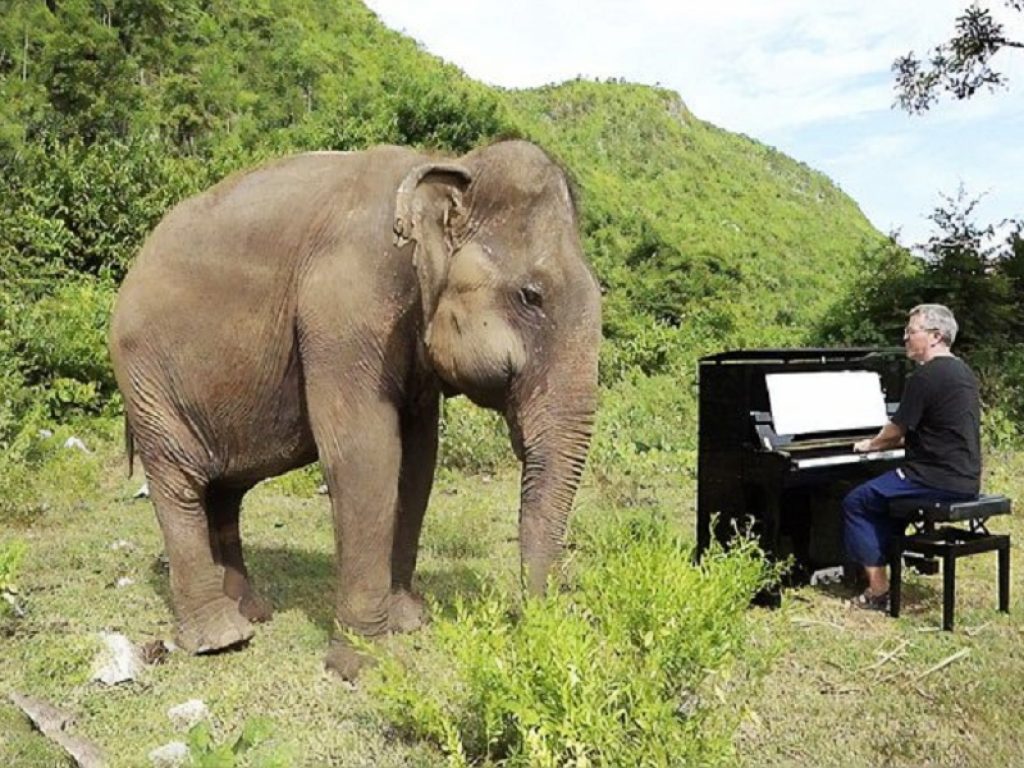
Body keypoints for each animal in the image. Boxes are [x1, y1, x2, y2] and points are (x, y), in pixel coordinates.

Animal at [108, 139, 602, 678]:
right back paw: (222, 638)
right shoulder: (345, 311)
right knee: (179, 483)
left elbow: (418, 462)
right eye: (531, 297)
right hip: (147, 379)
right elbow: (365, 456)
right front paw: (365, 662)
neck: (447, 165)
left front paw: (407, 622)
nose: (530, 622)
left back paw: (253, 614)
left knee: (224, 491)